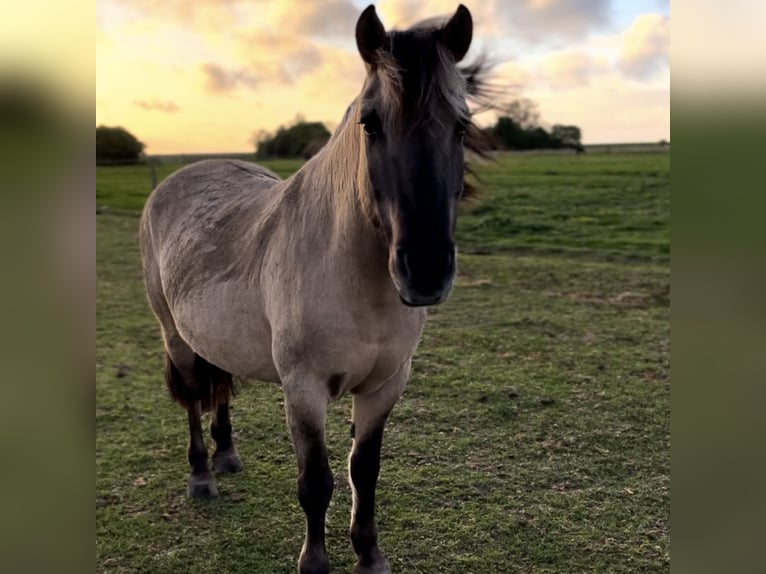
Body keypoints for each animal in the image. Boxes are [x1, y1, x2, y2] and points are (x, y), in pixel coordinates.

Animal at [140, 5, 487, 573]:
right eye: (370, 122)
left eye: (462, 124)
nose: (425, 271)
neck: (357, 280)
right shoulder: (304, 390)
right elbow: (316, 481)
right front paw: (315, 562)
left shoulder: (384, 387)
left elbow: (363, 471)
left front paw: (370, 557)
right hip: (175, 335)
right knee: (193, 396)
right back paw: (202, 476)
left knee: (220, 387)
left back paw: (227, 456)